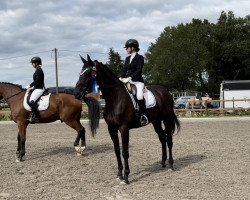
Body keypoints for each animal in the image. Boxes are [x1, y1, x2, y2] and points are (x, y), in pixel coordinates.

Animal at [73, 55, 181, 184]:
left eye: (89, 73)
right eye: (80, 73)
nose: (76, 93)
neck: (115, 97)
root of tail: (166, 91)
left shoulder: (124, 128)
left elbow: (125, 152)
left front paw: (126, 177)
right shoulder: (112, 128)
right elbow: (117, 150)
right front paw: (119, 174)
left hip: (167, 119)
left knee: (169, 140)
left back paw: (170, 165)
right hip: (156, 121)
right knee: (162, 138)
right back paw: (163, 163)